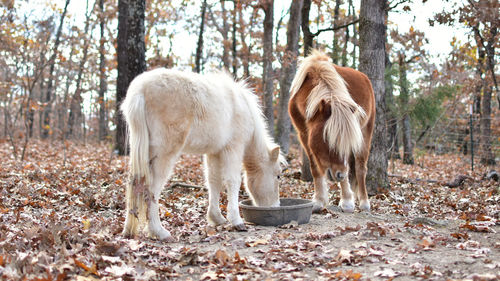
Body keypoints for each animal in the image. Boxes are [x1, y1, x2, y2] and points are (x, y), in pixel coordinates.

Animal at [118, 68, 282, 241]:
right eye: (278, 176)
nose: (276, 206)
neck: (245, 109)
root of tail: (140, 89)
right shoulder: (233, 148)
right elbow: (233, 181)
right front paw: (236, 221)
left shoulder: (215, 152)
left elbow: (214, 181)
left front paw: (217, 218)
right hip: (163, 155)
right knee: (152, 189)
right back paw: (159, 231)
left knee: (135, 182)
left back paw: (129, 230)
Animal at [288, 50, 374, 212]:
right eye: (327, 139)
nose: (339, 174)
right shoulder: (304, 135)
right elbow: (315, 168)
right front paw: (318, 201)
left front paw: (347, 202)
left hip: (365, 133)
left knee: (360, 167)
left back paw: (364, 203)